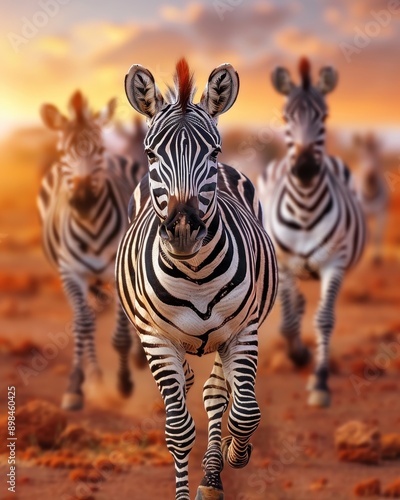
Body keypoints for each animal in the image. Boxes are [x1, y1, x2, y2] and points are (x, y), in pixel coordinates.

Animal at [36, 91, 146, 410]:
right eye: (63, 153)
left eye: (98, 149)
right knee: (85, 321)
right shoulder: (71, 273)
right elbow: (83, 325)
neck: (91, 225)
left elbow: (121, 335)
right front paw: (76, 386)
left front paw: (124, 383)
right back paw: (94, 376)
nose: (83, 200)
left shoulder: (118, 273)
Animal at [116, 59, 278, 500]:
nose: (184, 228)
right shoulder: (154, 337)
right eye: (151, 153)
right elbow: (178, 430)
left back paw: (213, 477)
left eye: (213, 151)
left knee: (215, 394)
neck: (195, 275)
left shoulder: (243, 330)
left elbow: (245, 413)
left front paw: (235, 454)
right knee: (192, 388)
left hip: (226, 336)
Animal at [258, 58, 368, 408]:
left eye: (324, 117)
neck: (305, 209)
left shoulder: (335, 263)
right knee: (291, 308)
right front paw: (298, 355)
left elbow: (324, 319)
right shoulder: (284, 264)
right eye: (285, 117)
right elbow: (289, 322)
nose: (305, 168)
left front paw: (319, 380)